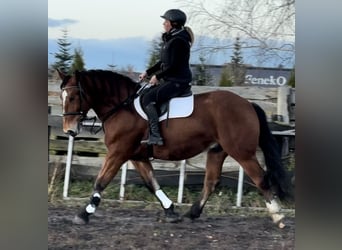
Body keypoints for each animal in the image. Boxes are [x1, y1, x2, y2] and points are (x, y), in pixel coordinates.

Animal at [57, 69, 292, 229]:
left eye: (73, 97)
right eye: (62, 97)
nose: (69, 130)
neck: (122, 107)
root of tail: (248, 104)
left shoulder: (118, 152)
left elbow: (101, 181)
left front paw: (84, 213)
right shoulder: (137, 156)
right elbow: (152, 183)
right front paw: (171, 212)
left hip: (241, 152)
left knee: (260, 178)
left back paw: (278, 216)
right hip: (217, 151)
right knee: (211, 182)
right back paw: (191, 214)